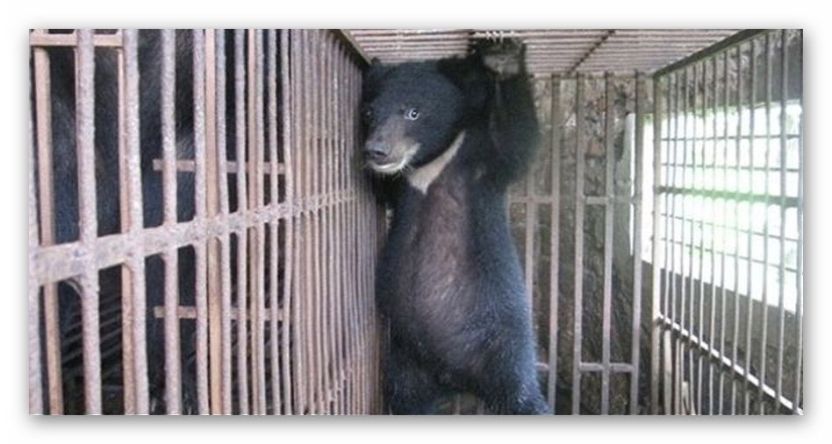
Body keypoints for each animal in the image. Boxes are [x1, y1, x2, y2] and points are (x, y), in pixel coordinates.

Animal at [361, 39, 550, 415]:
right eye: (370, 113)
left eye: (413, 112)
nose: (376, 151)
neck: (427, 164)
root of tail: (454, 377)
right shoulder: (399, 185)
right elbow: (382, 191)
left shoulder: (480, 160)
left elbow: (516, 139)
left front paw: (502, 56)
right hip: (405, 357)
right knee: (406, 398)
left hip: (501, 343)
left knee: (521, 394)